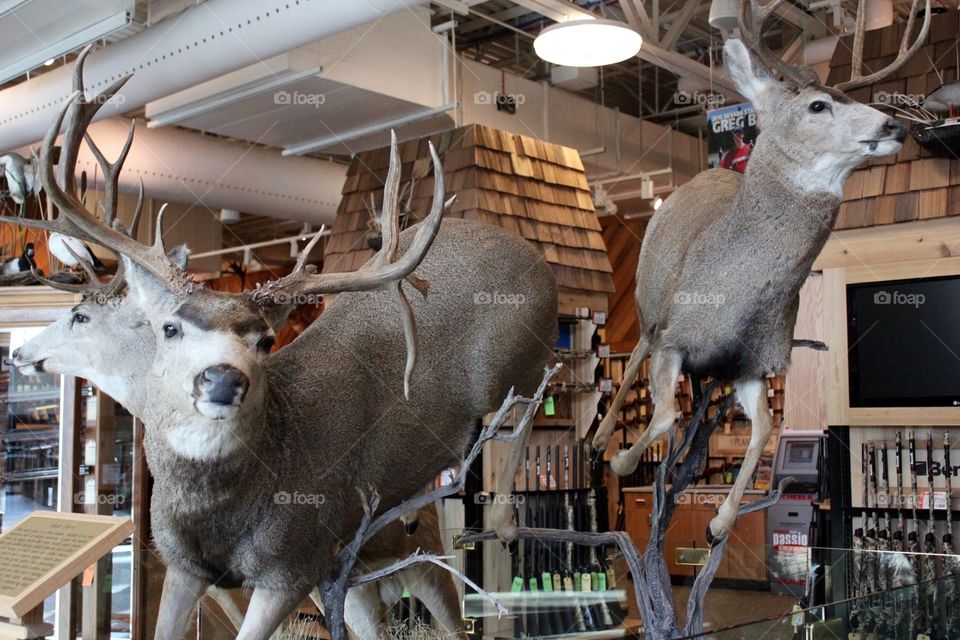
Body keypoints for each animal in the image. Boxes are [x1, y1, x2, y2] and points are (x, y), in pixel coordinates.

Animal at [8, 48, 558, 640]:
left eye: (266, 339)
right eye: (170, 328)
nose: (222, 379)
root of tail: (532, 255)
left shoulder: (292, 563)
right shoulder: (187, 566)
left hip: (507, 370)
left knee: (532, 400)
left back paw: (502, 521)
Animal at [591, 0, 929, 544]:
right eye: (818, 106)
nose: (895, 127)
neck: (738, 300)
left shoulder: (752, 365)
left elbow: (766, 428)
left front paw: (719, 522)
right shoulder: (675, 336)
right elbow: (663, 413)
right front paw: (623, 460)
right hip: (649, 301)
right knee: (638, 348)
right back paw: (601, 439)